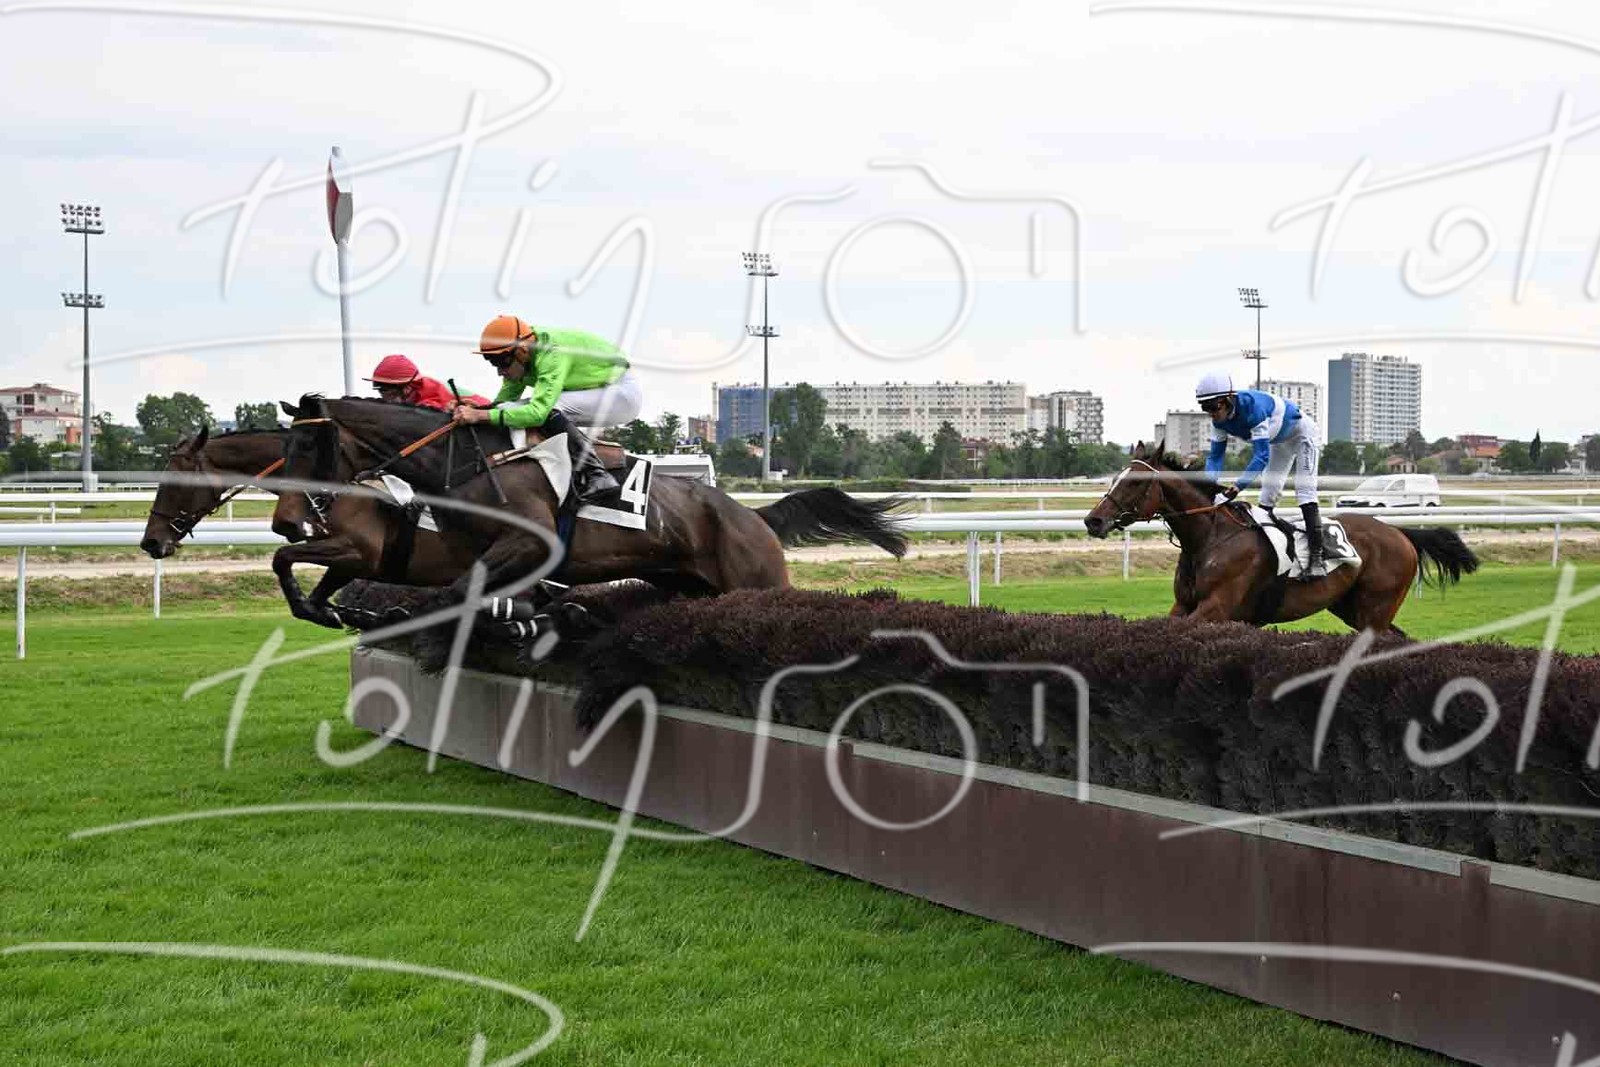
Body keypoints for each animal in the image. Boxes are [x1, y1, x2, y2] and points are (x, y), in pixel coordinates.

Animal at [140, 426, 480, 629]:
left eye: (175, 483)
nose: (150, 542)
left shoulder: (359, 552)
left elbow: (282, 557)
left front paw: (319, 611)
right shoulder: (353, 560)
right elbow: (319, 592)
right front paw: (359, 615)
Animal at [269, 395, 906, 623]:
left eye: (311, 446)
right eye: (283, 448)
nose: (287, 519)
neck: (465, 463)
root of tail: (754, 516)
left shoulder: (528, 541)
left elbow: (456, 596)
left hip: (755, 580)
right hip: (689, 585)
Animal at [1082, 441, 1478, 633]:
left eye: (1135, 483)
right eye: (1115, 478)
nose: (1093, 521)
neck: (1209, 538)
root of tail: (1399, 531)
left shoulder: (1216, 608)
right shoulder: (1184, 606)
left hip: (1373, 612)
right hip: (1352, 609)